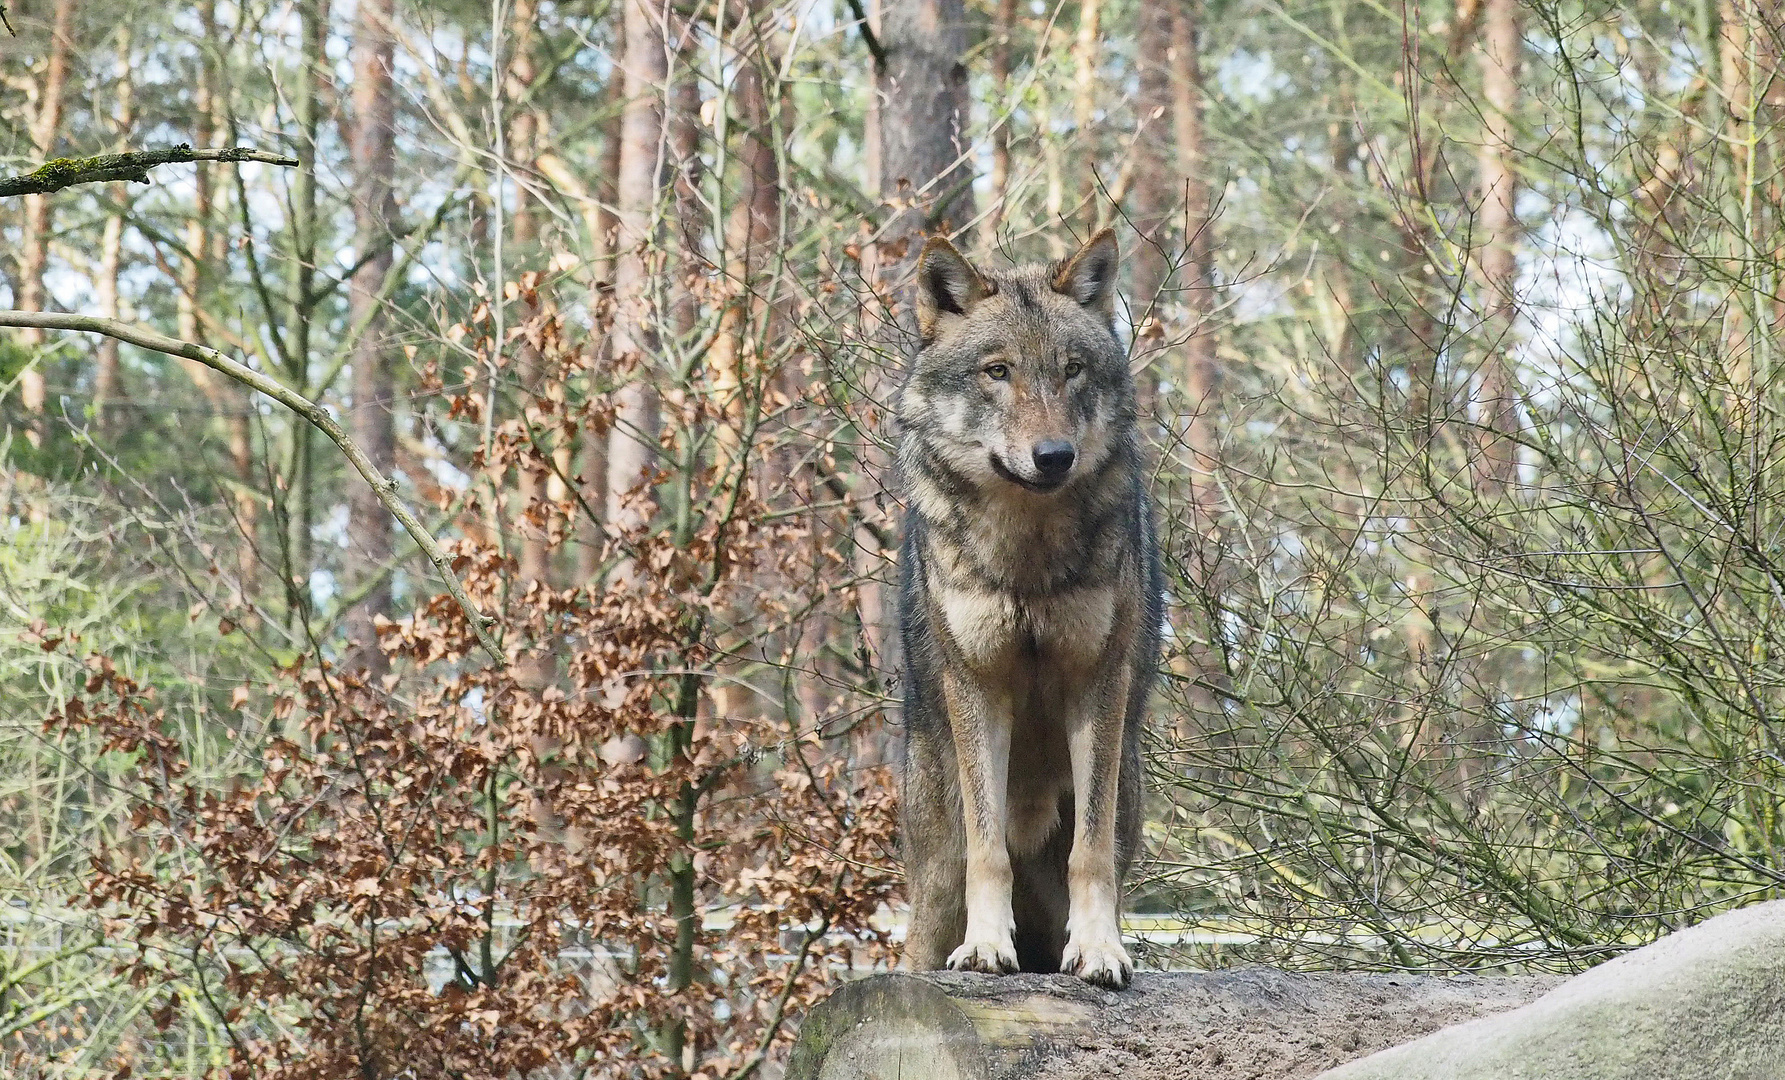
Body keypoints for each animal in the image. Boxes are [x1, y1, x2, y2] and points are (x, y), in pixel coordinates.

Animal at [899, 232, 1163, 992]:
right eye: (998, 371)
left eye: (1071, 371)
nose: (1053, 456)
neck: (1027, 550)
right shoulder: (977, 684)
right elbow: (989, 850)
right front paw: (987, 947)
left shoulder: (1097, 681)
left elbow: (1090, 853)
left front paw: (1100, 950)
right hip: (932, 878)